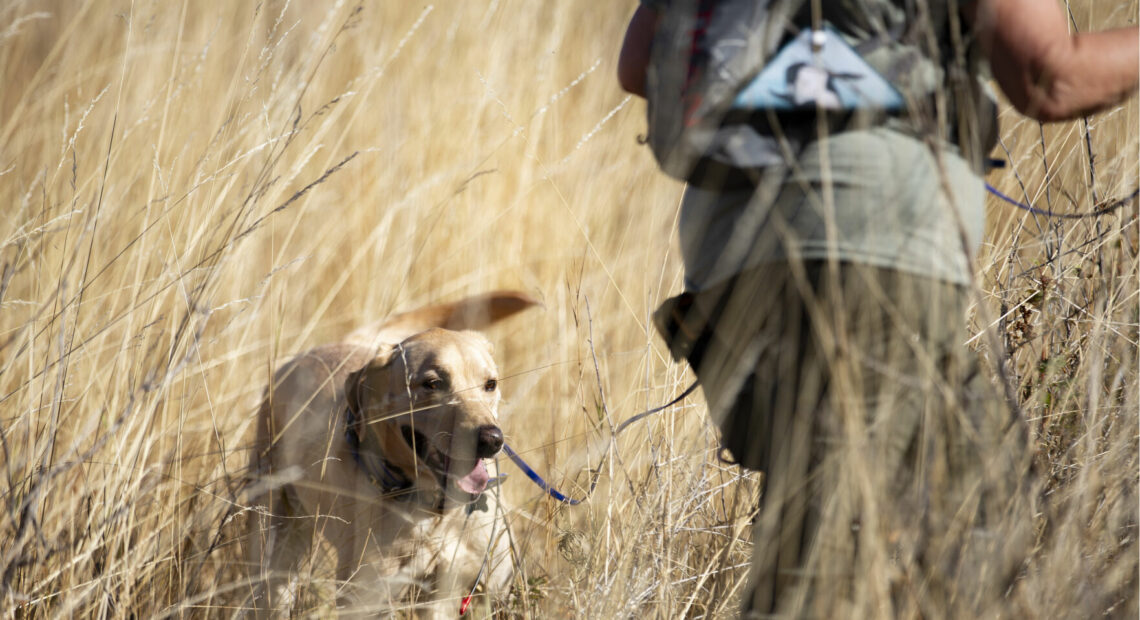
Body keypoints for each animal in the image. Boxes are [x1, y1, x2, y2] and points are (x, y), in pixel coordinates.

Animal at [246, 290, 538, 615]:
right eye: (433, 383)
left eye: (490, 384)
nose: (491, 439)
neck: (436, 514)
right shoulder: (367, 600)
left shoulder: (467, 591)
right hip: (275, 543)